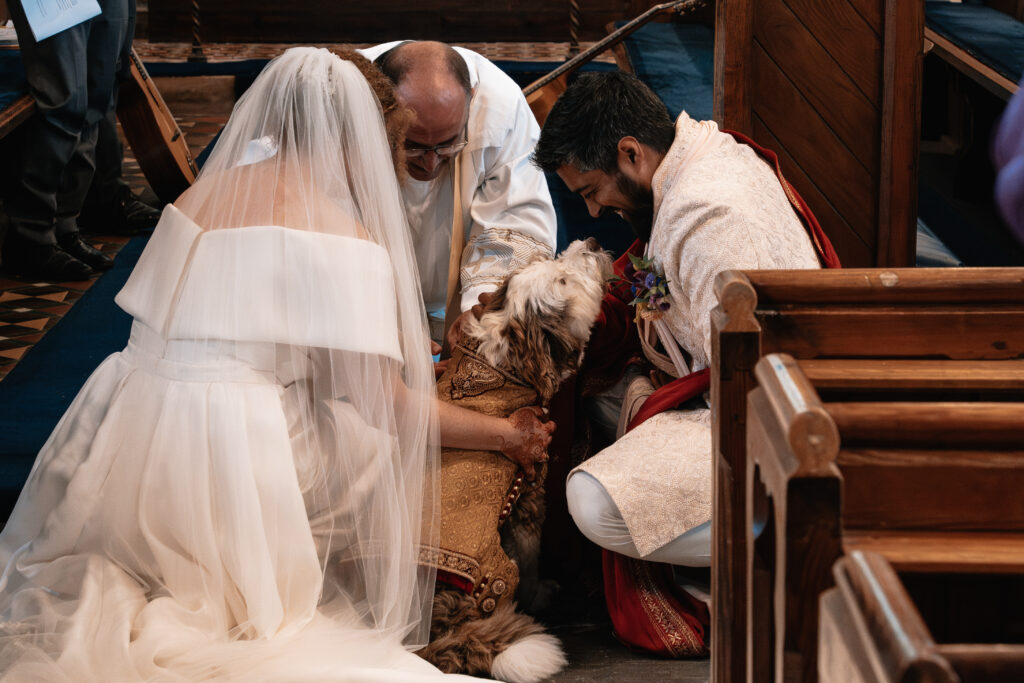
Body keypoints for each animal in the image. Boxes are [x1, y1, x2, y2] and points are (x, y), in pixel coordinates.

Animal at [417, 237, 610, 679]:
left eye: (554, 261)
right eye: (563, 280)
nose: (590, 242)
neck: (501, 361)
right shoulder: (529, 493)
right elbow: (533, 557)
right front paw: (540, 594)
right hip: (494, 574)